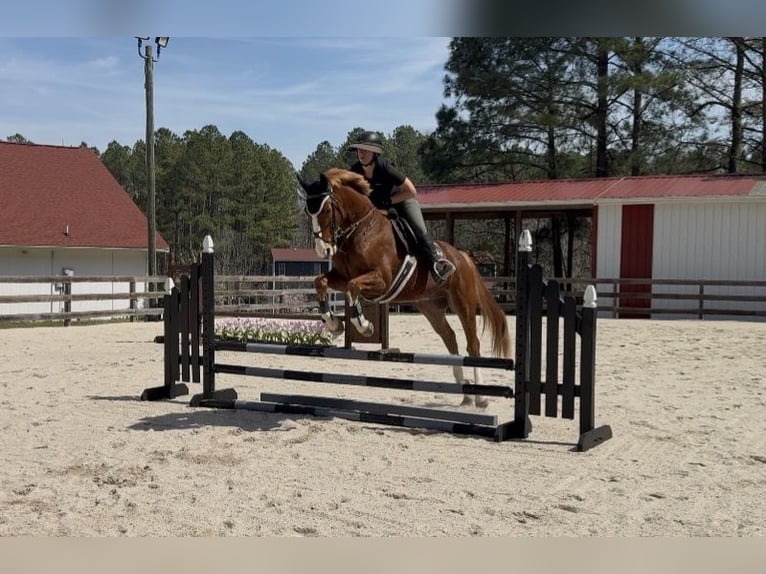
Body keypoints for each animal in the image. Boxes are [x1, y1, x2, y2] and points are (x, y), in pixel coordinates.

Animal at [296, 168, 511, 408]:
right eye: (308, 212)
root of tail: (463, 257)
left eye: (327, 209)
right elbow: (321, 282)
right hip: (431, 308)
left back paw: (480, 397)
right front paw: (334, 324)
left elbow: (353, 289)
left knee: (472, 344)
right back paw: (465, 394)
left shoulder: (381, 280)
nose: (323, 250)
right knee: (450, 339)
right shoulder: (342, 277)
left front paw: (365, 326)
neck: (361, 230)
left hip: (463, 305)